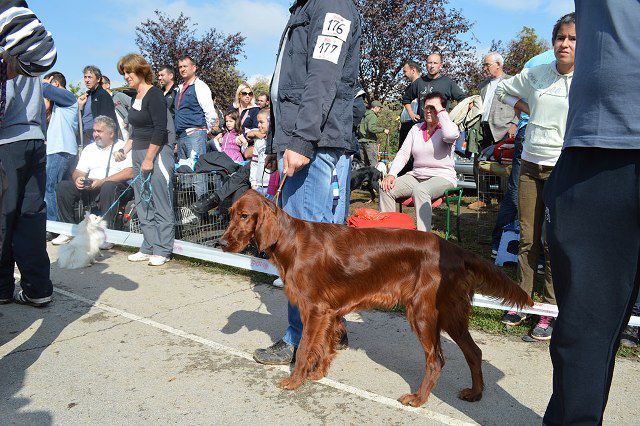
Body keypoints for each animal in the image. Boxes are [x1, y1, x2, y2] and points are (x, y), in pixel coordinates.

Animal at [218, 191, 532, 408]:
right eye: (231, 213)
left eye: (245, 215)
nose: (221, 243)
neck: (291, 241)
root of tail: (456, 249)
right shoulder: (330, 312)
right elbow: (325, 346)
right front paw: (317, 374)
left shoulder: (315, 309)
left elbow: (306, 346)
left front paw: (295, 380)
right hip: (451, 313)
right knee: (474, 352)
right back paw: (475, 393)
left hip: (423, 313)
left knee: (436, 360)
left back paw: (418, 399)